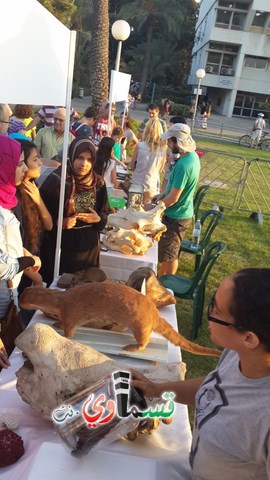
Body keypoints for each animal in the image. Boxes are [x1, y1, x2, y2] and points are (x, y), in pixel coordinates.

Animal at [20, 282, 220, 356]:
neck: (60, 300)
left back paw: (131, 347)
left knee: (144, 342)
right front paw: (55, 322)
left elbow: (69, 332)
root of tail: (153, 312)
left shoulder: (71, 315)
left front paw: (61, 333)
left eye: (21, 300)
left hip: (140, 325)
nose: (19, 302)